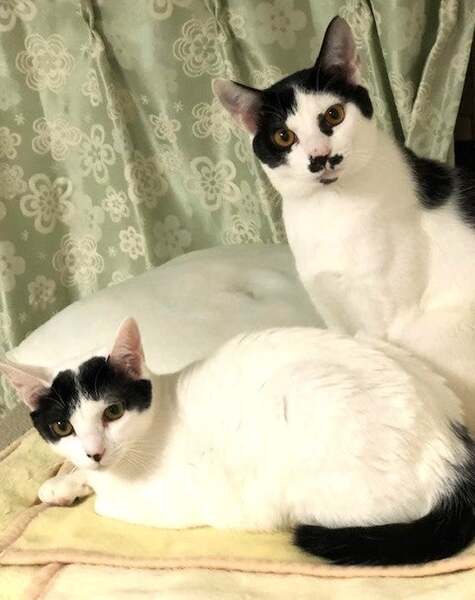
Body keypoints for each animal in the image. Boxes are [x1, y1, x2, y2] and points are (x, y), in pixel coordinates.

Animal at [2, 317, 475, 566]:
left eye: (113, 412)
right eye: (62, 427)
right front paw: (63, 482)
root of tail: (451, 450)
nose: (95, 451)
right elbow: (76, 476)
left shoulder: (162, 501)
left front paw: (78, 484)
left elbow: (104, 500)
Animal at [214, 17, 475, 431]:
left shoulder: (386, 315)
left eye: (334, 115)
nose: (321, 157)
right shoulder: (330, 306)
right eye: (283, 136)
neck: (331, 212)